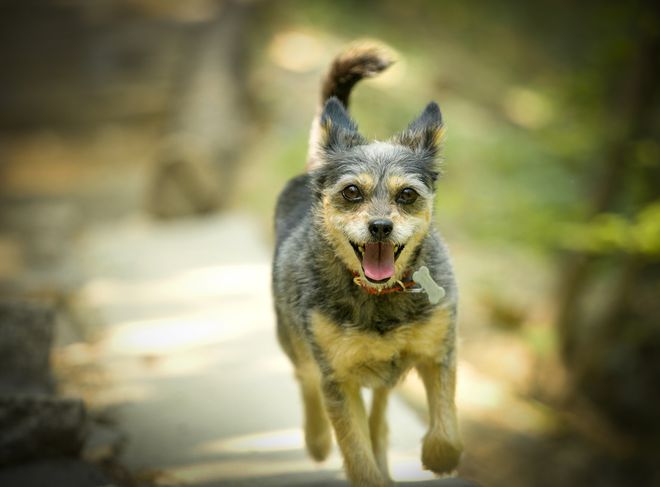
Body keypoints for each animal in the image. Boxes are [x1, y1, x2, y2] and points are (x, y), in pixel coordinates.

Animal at [270, 43, 462, 486]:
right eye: (352, 192)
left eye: (407, 195)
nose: (380, 226)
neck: (379, 295)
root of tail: (313, 168)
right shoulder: (339, 379)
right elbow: (356, 454)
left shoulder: (439, 352)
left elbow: (445, 425)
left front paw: (439, 454)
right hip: (295, 342)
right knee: (306, 381)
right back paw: (316, 440)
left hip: (383, 374)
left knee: (381, 410)